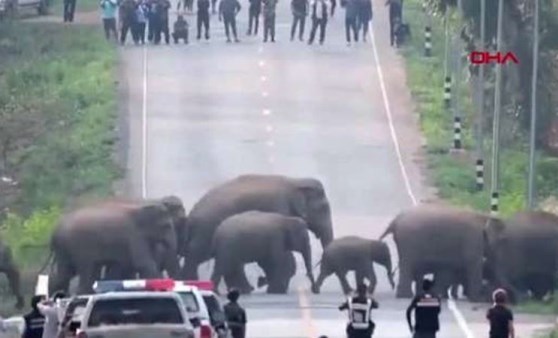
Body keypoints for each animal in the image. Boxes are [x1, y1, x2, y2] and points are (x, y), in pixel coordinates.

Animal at [46, 197, 182, 294]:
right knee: (85, 270)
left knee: (67, 272)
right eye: (166, 226)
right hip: (77, 245)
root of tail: (54, 232)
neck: (141, 208)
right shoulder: (133, 235)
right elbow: (143, 263)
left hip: (65, 249)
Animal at [182, 176, 334, 290]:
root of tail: (191, 216)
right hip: (206, 232)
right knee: (197, 256)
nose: (314, 289)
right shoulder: (279, 206)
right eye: (323, 209)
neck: (295, 182)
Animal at [380, 205, 508, 302]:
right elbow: (474, 265)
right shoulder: (473, 240)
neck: (484, 216)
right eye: (503, 240)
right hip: (409, 242)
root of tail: (395, 221)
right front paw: (478, 299)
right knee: (408, 265)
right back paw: (406, 296)